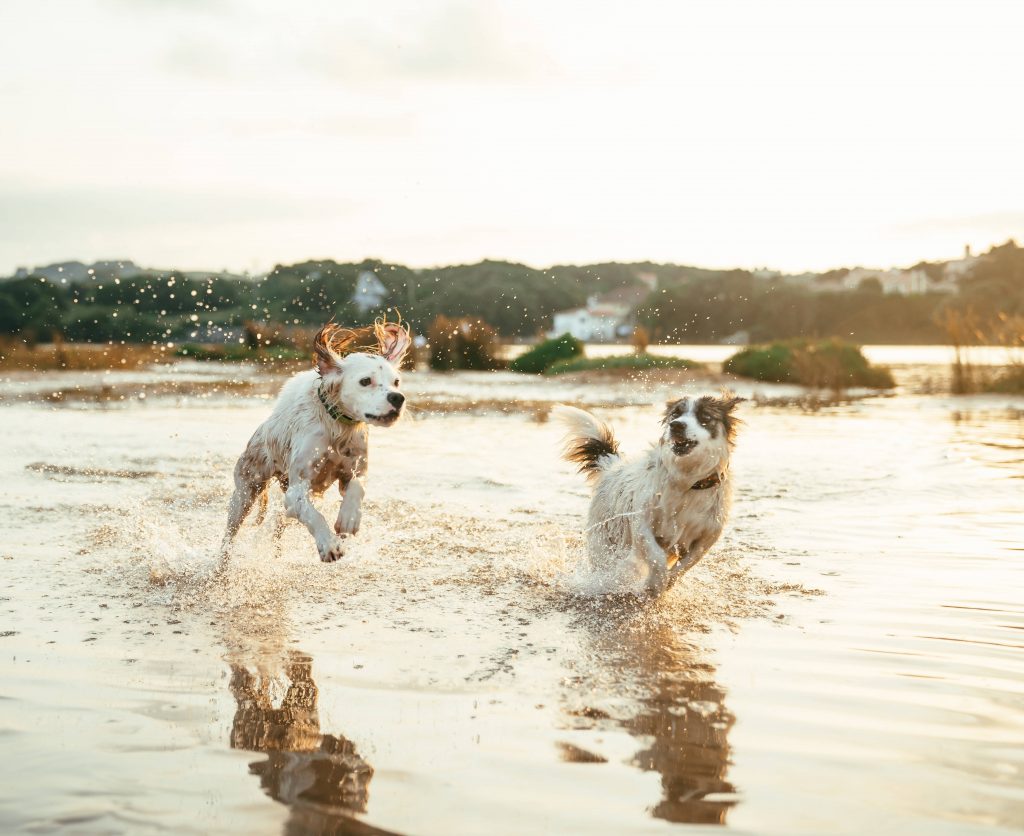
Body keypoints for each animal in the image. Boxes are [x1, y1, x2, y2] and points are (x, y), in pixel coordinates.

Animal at [224, 317, 411, 565]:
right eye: (365, 381)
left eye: (396, 382)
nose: (397, 398)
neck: (337, 429)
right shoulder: (297, 491)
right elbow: (314, 516)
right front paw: (329, 544)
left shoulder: (354, 468)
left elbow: (357, 486)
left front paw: (349, 518)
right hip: (245, 491)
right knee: (230, 536)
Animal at [552, 397, 745, 598]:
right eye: (675, 414)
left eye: (704, 416)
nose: (676, 425)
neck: (687, 480)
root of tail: (611, 466)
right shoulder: (642, 523)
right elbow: (656, 557)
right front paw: (655, 583)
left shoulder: (707, 537)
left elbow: (686, 564)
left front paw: (668, 581)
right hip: (604, 540)